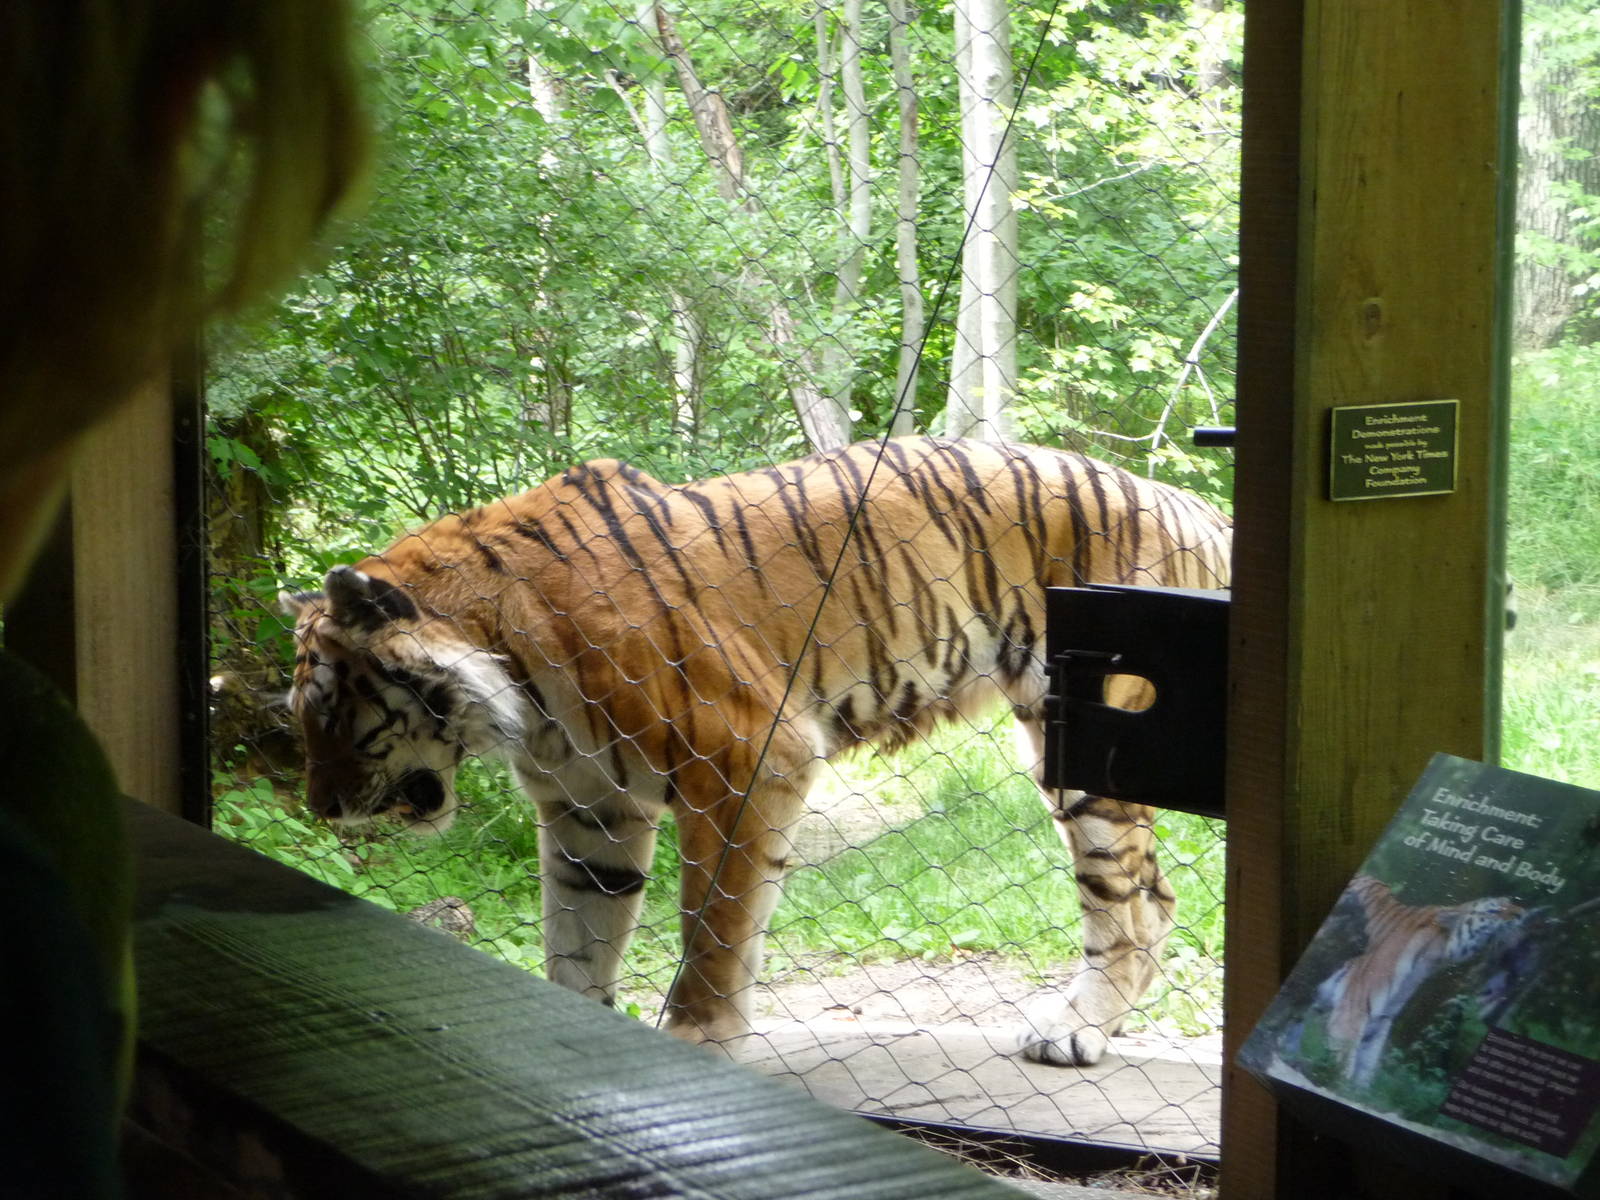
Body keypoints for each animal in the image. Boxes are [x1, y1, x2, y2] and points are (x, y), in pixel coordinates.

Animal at [280, 436, 1231, 1066]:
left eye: (331, 710)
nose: (320, 808)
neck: (512, 676)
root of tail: (1190, 503)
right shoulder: (592, 810)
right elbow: (577, 940)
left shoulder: (746, 756)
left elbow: (714, 925)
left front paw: (700, 1037)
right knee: (1156, 894)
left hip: (1088, 746)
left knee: (1133, 904)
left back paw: (1075, 1029)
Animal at [1314, 875, 1525, 1087]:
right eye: (1494, 911)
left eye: (1510, 903)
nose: (1523, 913)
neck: (1432, 958)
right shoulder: (1352, 1013)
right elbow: (1344, 1066)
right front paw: (1335, 1082)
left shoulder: (1379, 1021)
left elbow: (1365, 1070)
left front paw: (1356, 1091)